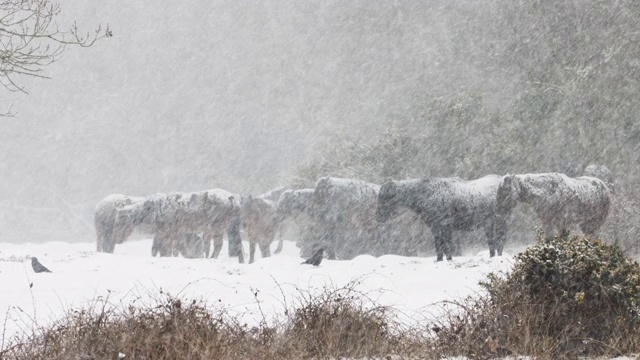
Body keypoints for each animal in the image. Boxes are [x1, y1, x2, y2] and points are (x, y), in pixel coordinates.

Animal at [378, 175, 508, 262]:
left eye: (385, 197)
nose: (378, 217)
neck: (425, 194)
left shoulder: (443, 226)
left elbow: (446, 246)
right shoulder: (435, 227)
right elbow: (439, 245)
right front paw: (440, 260)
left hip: (494, 223)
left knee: (496, 241)